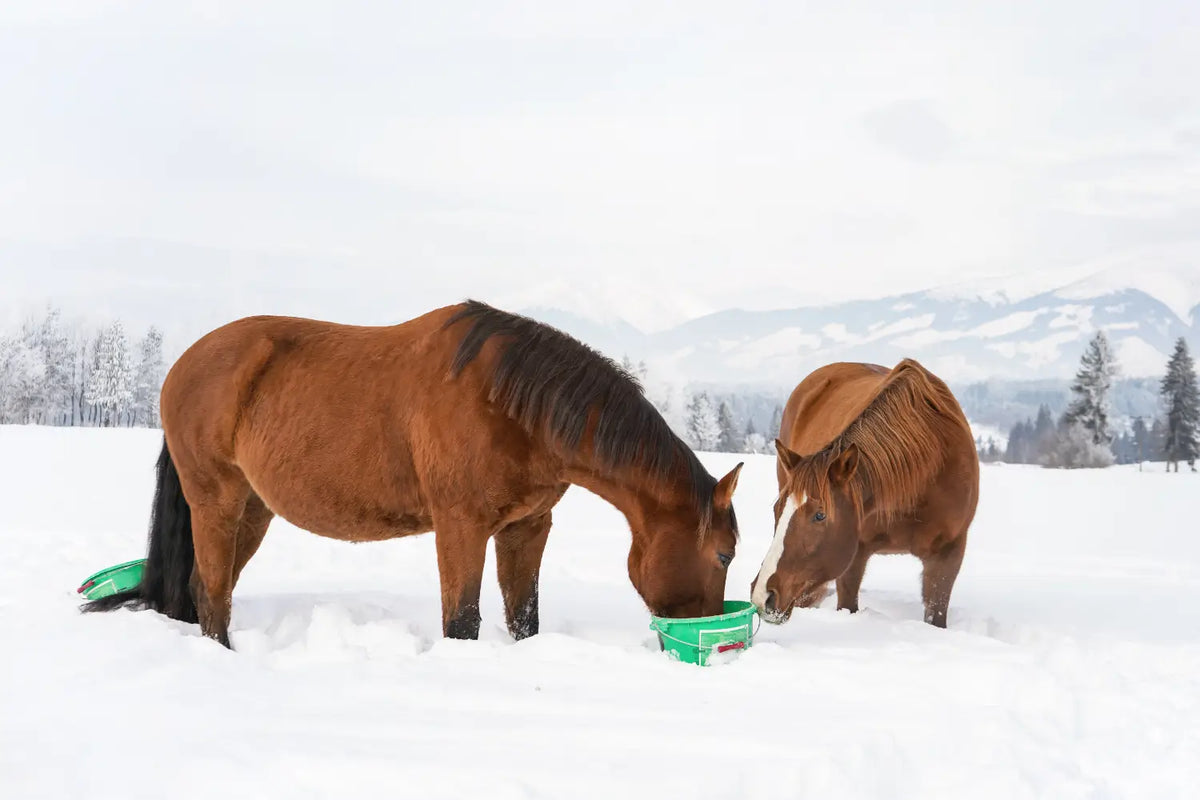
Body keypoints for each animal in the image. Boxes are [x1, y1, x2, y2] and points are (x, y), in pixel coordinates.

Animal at [84, 301, 744, 647]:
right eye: (724, 555)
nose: (705, 631)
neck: (511, 405)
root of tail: (182, 366)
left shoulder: (526, 528)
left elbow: (524, 618)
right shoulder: (461, 526)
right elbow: (462, 621)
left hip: (254, 510)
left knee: (205, 588)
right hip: (216, 503)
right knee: (213, 592)